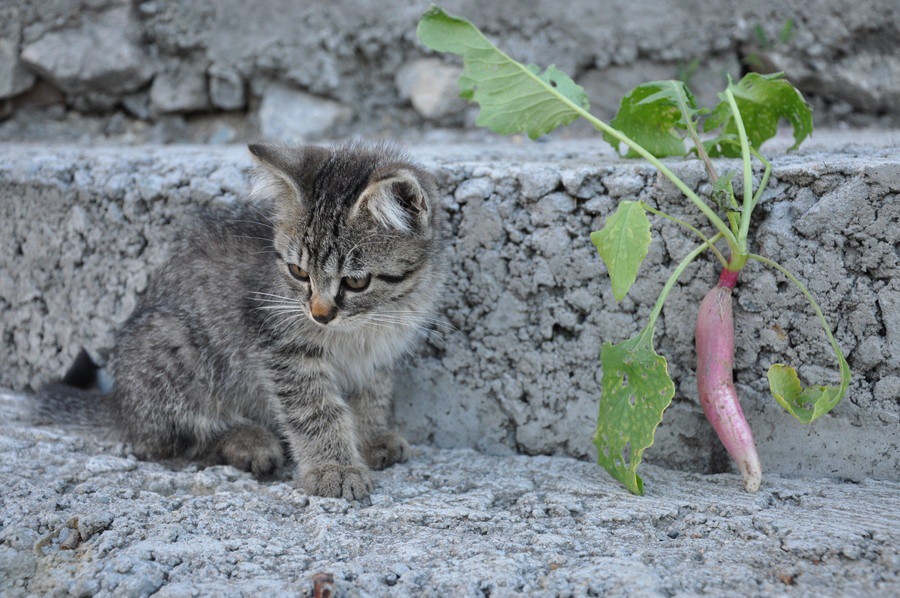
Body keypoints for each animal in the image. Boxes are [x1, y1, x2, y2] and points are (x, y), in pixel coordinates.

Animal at [34, 144, 442, 502]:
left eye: (356, 282)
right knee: (168, 440)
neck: (366, 325)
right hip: (172, 344)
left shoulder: (380, 353)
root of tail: (119, 403)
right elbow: (316, 411)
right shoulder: (281, 349)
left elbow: (372, 393)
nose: (319, 314)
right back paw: (246, 440)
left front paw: (369, 436)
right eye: (298, 272)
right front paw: (333, 468)